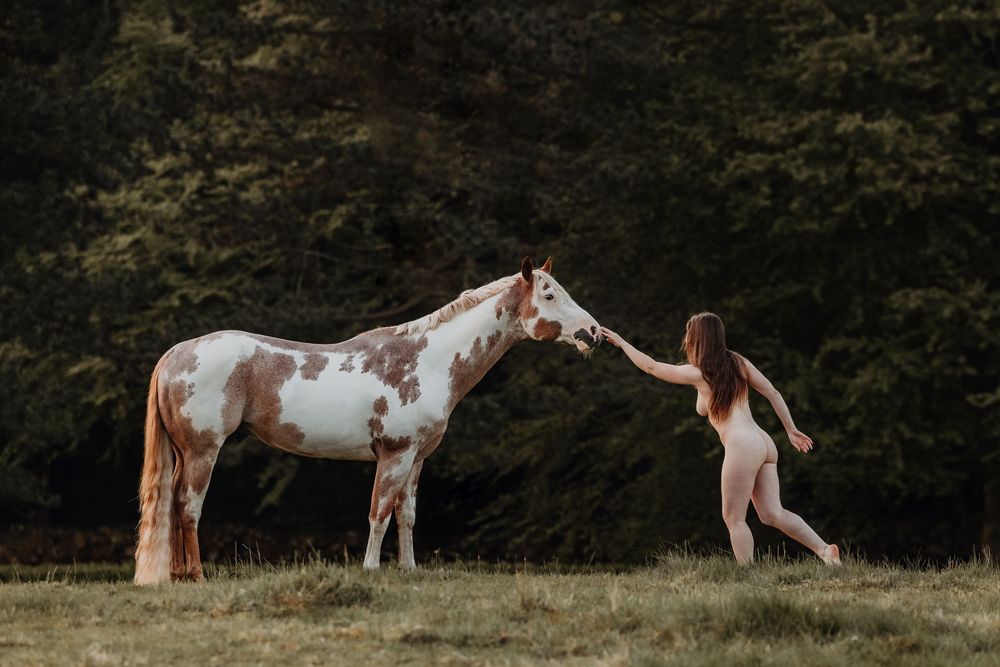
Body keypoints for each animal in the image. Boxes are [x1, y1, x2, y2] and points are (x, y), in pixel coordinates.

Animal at [134, 256, 602, 584]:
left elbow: (406, 514)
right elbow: (379, 512)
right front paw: (371, 569)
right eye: (550, 297)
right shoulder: (394, 454)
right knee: (188, 505)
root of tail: (178, 351)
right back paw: (195, 574)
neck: (427, 361)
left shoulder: (416, 458)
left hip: (184, 452)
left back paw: (176, 574)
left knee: (174, 504)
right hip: (203, 450)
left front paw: (408, 569)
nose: (593, 333)